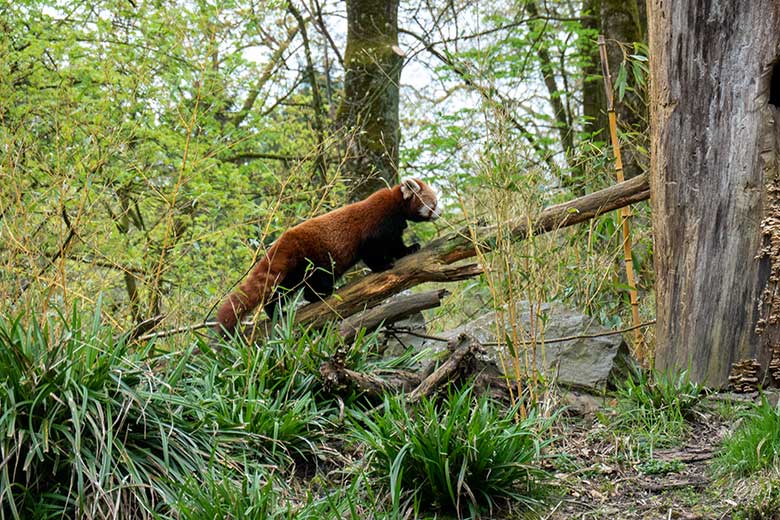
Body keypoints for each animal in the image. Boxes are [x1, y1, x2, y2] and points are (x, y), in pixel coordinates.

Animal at [215, 178, 438, 334]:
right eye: (433, 204)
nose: (439, 214)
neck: (396, 205)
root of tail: (283, 240)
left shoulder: (393, 229)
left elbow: (395, 245)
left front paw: (409, 249)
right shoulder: (377, 223)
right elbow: (372, 250)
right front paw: (382, 265)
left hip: (295, 268)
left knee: (283, 289)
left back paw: (277, 310)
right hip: (313, 257)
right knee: (315, 280)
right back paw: (321, 294)